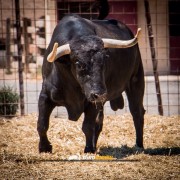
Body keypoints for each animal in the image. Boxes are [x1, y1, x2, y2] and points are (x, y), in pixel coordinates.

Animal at [37, 14, 146, 154]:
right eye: (78, 64)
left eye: (104, 61)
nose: (100, 94)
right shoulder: (45, 95)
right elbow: (42, 124)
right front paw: (44, 147)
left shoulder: (92, 102)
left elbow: (88, 126)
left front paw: (88, 149)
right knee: (100, 123)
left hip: (136, 80)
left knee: (137, 113)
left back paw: (139, 145)